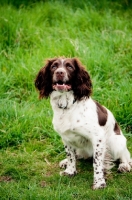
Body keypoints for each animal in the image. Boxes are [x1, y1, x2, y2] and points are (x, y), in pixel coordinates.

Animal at [34, 57, 131, 189]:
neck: (67, 106)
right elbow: (70, 156)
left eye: (70, 67)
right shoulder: (66, 137)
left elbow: (97, 163)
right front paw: (70, 171)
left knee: (125, 155)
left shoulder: (98, 137)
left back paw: (124, 165)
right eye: (54, 66)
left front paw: (99, 183)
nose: (60, 72)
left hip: (117, 141)